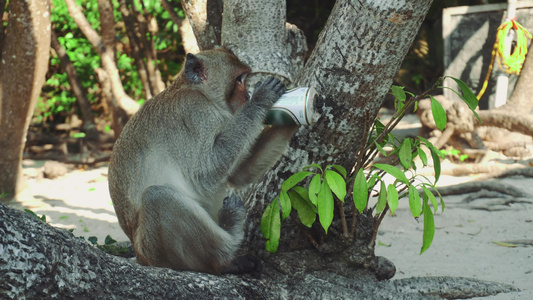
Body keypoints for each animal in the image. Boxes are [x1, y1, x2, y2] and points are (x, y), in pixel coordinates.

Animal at [107, 46, 300, 274]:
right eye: (239, 80)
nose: (247, 96)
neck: (201, 94)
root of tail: (140, 256)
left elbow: (237, 175)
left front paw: (295, 116)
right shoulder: (194, 112)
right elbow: (204, 175)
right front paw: (261, 99)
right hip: (155, 251)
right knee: (157, 197)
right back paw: (226, 252)